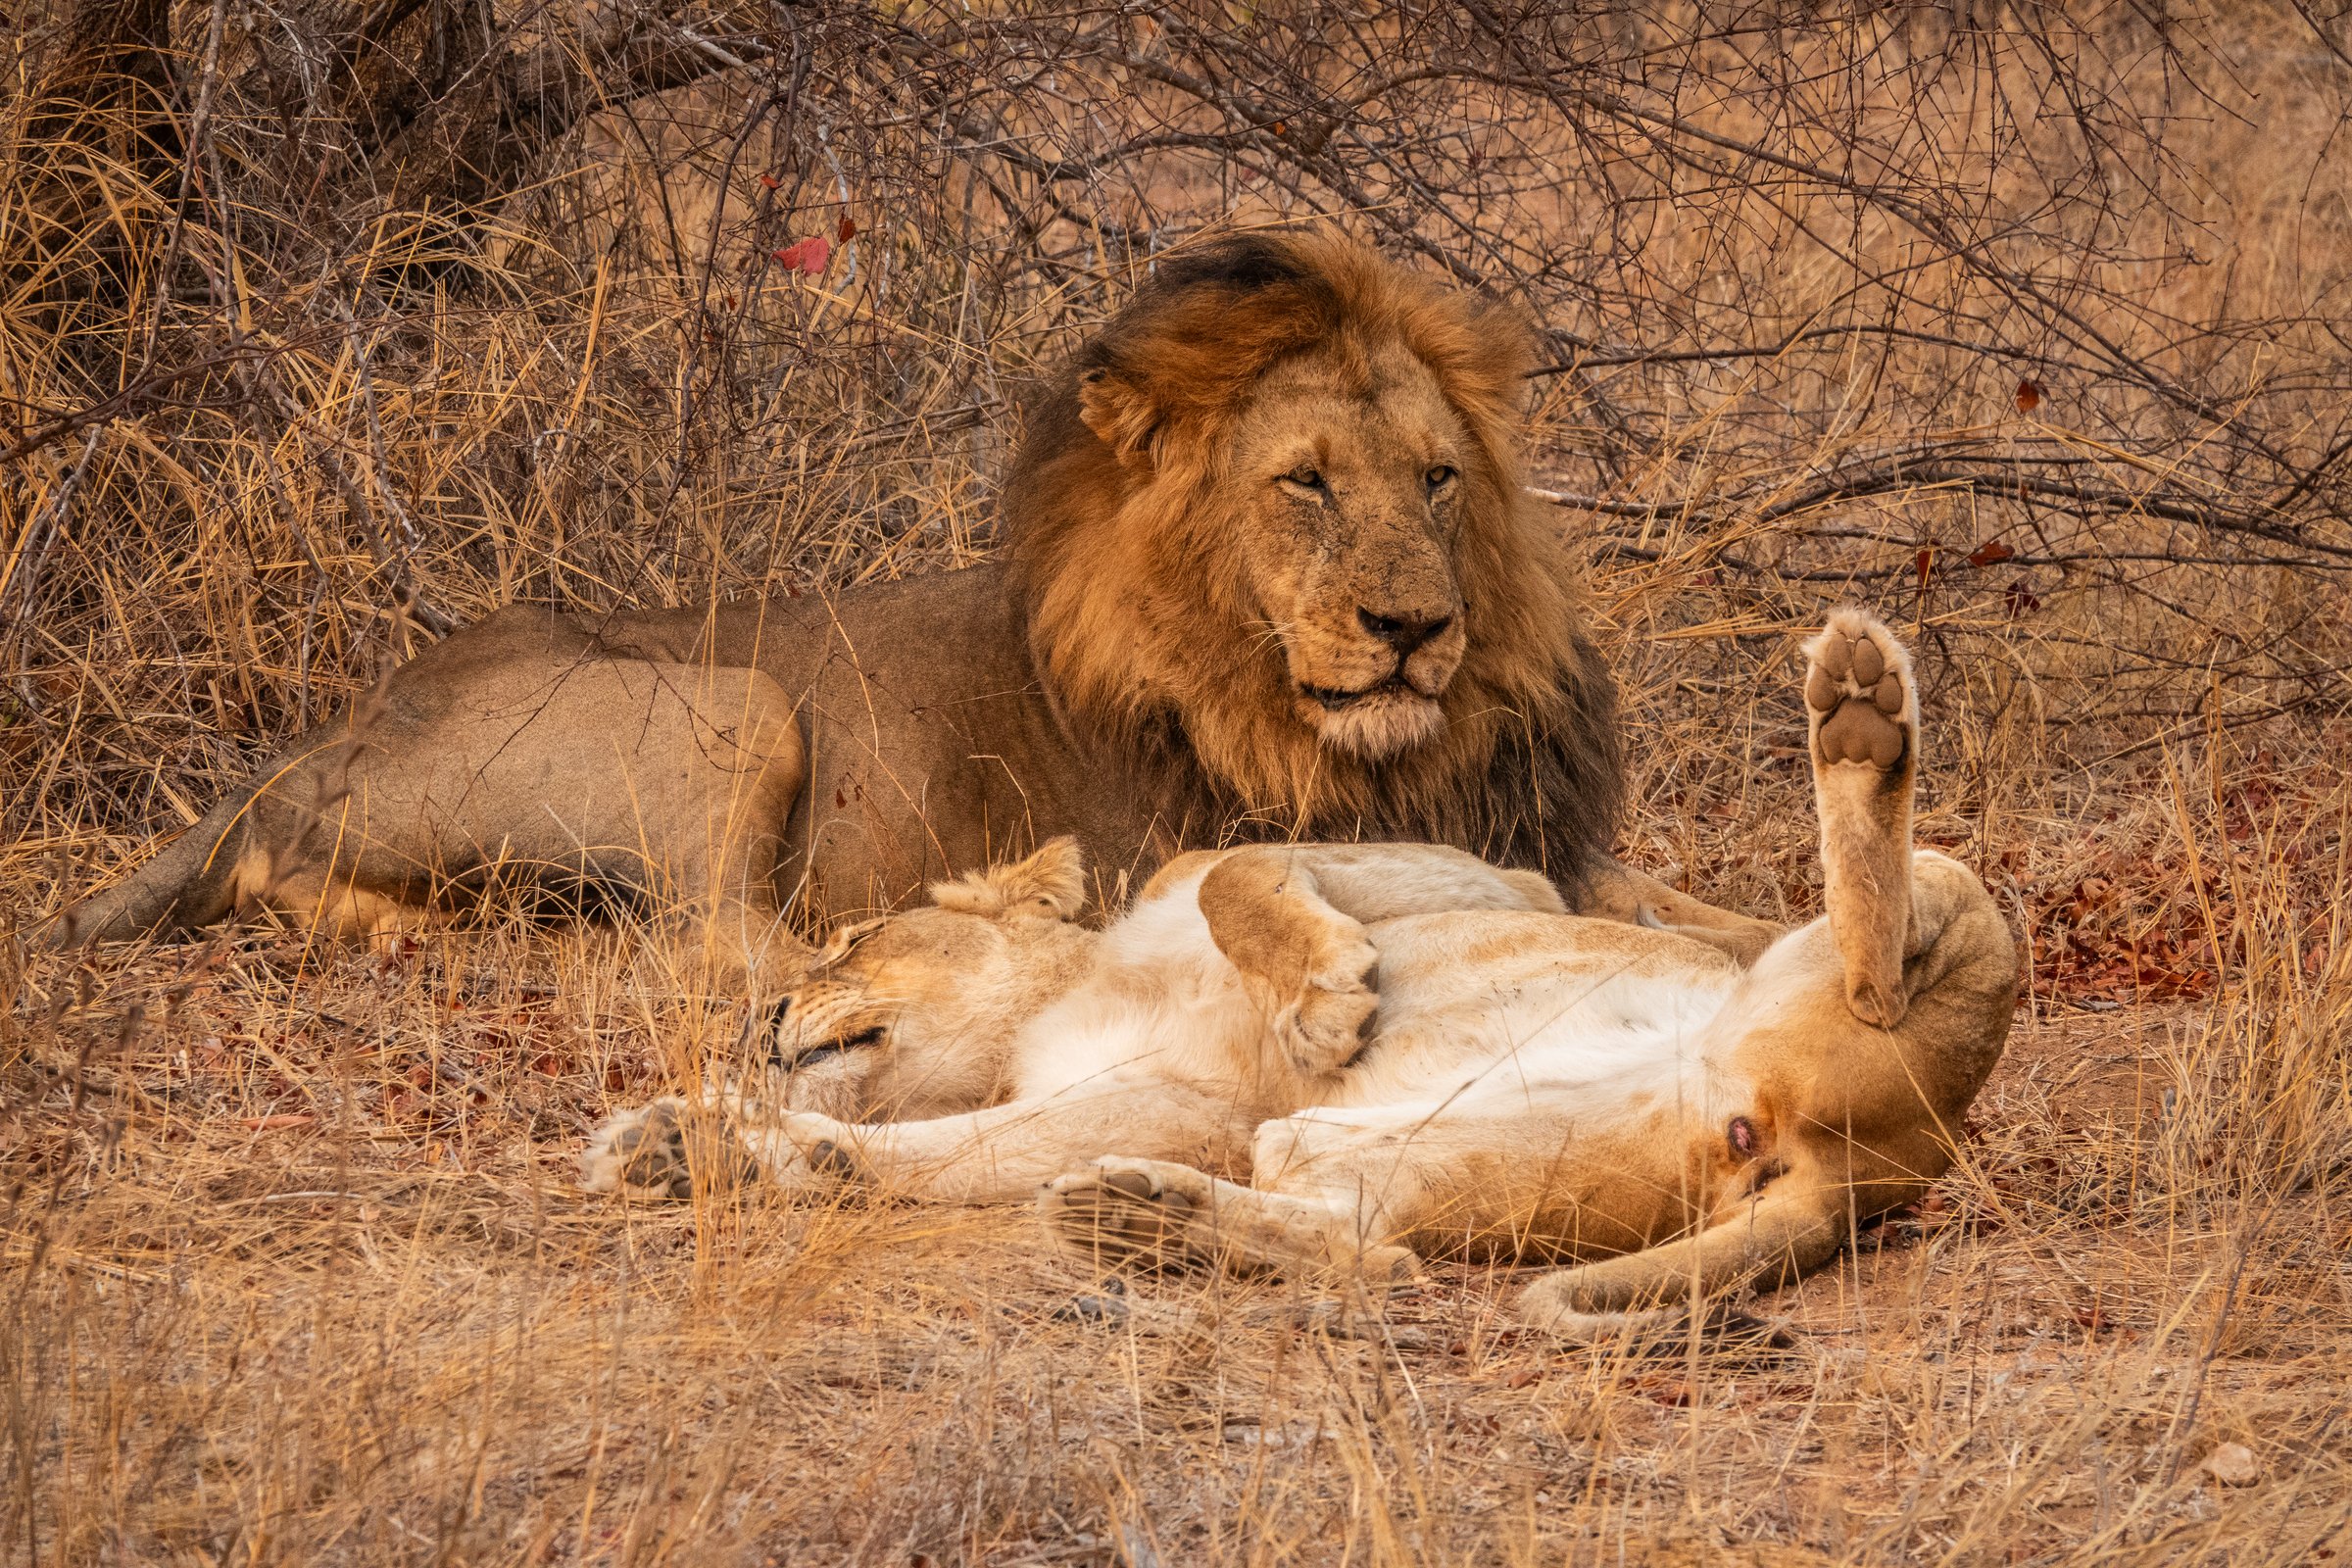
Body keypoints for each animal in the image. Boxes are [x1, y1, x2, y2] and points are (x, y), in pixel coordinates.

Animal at [45, 229, 1768, 978]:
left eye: (1437, 480)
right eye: (1305, 485)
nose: (1415, 631)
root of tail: (303, 746)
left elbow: (1710, 910)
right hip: (734, 699)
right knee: (720, 949)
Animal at [584, 611, 2019, 1333]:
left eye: (846, 940)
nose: (767, 1012)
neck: (1068, 1001)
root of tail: (1857, 1178)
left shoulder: (1465, 875)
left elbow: (1241, 878)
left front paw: (1325, 1002)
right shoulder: (1165, 1110)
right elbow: (914, 1157)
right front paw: (686, 1143)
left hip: (1948, 920)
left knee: (1883, 951)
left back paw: (1859, 711)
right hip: (1433, 1152)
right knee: (1371, 1251)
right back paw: (1140, 1221)